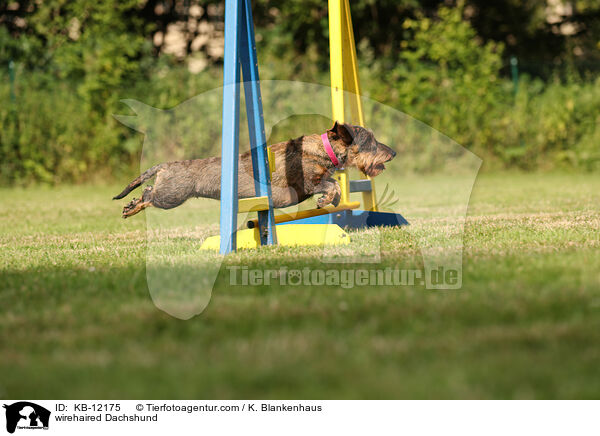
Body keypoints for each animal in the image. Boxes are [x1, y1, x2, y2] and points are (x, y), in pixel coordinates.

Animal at [114, 121, 396, 218]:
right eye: (370, 141)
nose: (393, 153)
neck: (322, 150)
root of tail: (165, 165)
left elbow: (335, 185)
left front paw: (331, 201)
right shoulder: (307, 183)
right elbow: (331, 184)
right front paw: (326, 199)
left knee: (148, 191)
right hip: (171, 196)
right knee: (149, 195)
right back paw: (131, 207)